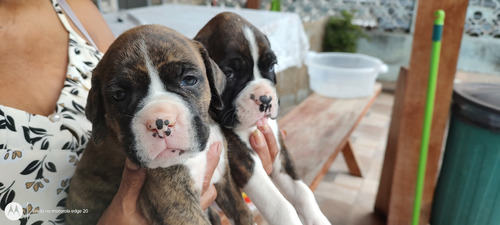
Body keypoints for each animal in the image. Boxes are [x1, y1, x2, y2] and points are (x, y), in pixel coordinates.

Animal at [65, 24, 250, 225]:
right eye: (119, 95)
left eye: (189, 79)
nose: (160, 122)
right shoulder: (176, 201)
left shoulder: (225, 178)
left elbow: (243, 212)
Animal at [195, 12, 332, 225]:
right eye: (229, 73)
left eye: (272, 66)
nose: (266, 99)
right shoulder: (242, 159)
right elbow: (281, 205)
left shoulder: (280, 154)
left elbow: (303, 192)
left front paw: (318, 219)